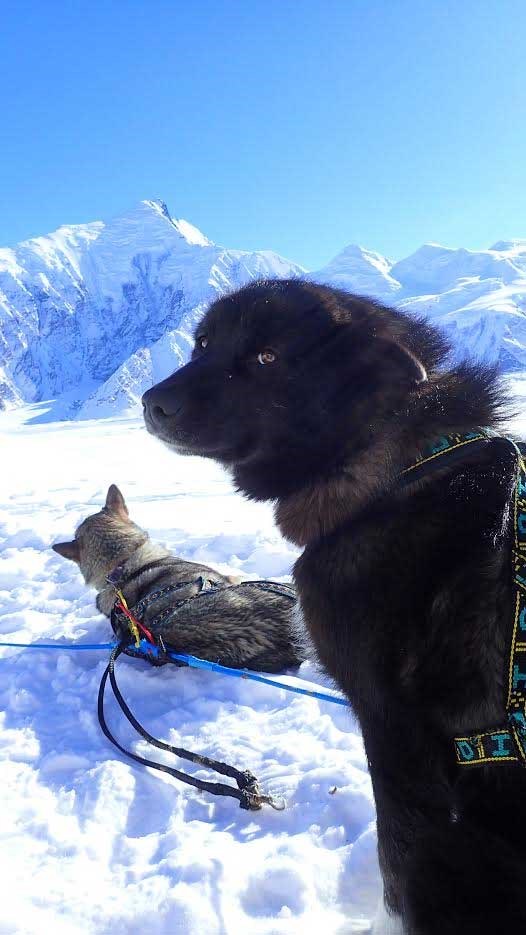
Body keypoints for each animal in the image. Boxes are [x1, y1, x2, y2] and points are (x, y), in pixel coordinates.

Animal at [143, 280, 526, 935]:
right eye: (203, 344)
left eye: (267, 356)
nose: (152, 401)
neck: (392, 474)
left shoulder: (392, 734)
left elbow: (397, 863)